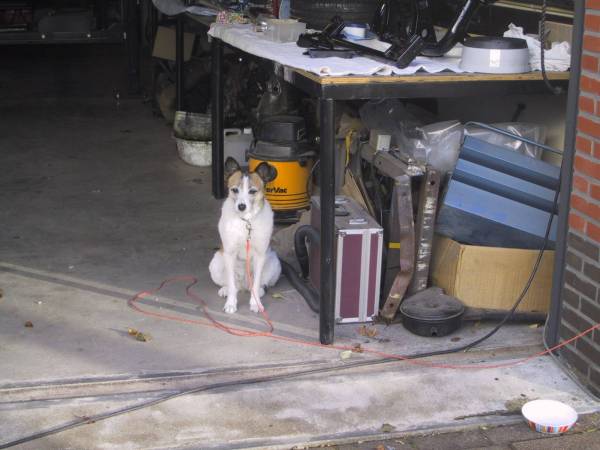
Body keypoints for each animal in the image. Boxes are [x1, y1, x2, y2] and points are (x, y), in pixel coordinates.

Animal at [210, 156, 282, 312]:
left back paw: (258, 291)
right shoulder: (229, 253)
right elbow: (231, 283)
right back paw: (226, 289)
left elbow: (256, 282)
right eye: (234, 190)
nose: (241, 206)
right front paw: (231, 303)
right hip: (216, 263)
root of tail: (243, 285)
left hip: (274, 262)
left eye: (252, 191)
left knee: (258, 285)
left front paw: (255, 303)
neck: (246, 221)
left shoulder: (260, 255)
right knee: (232, 284)